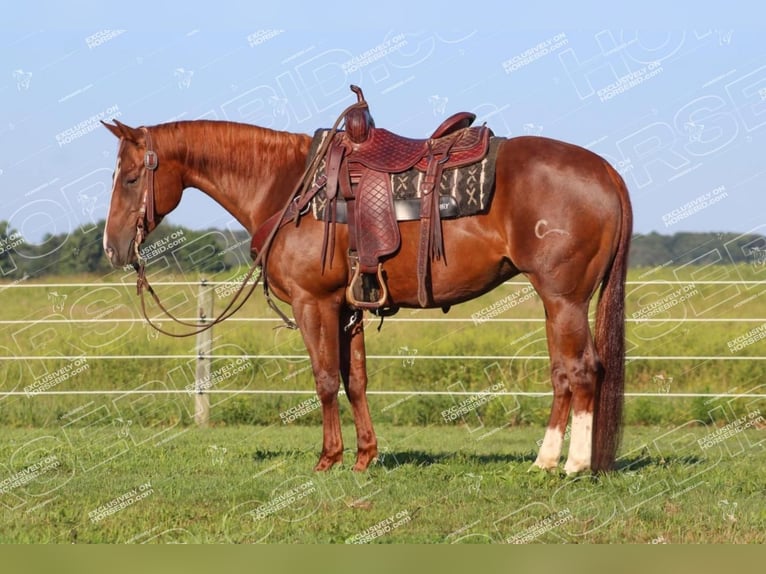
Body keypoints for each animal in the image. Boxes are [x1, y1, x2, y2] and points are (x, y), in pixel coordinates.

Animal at [102, 113, 632, 476]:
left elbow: (323, 380)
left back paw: (573, 466)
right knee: (563, 374)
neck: (287, 187)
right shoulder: (348, 307)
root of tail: (606, 171)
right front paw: (364, 457)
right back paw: (546, 460)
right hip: (557, 304)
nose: (111, 246)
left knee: (582, 370)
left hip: (563, 300)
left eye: (130, 177)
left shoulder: (314, 302)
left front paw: (327, 459)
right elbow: (354, 379)